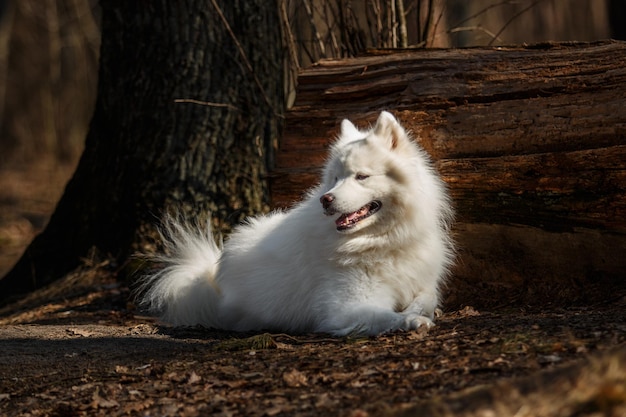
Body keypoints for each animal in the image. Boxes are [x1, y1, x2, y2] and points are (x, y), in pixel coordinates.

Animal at [139, 110, 450, 334]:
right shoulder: (347, 307)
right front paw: (410, 320)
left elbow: (428, 296)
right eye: (335, 178)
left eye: (361, 176)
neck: (381, 240)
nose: (326, 199)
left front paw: (419, 310)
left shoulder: (421, 281)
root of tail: (213, 274)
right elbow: (385, 316)